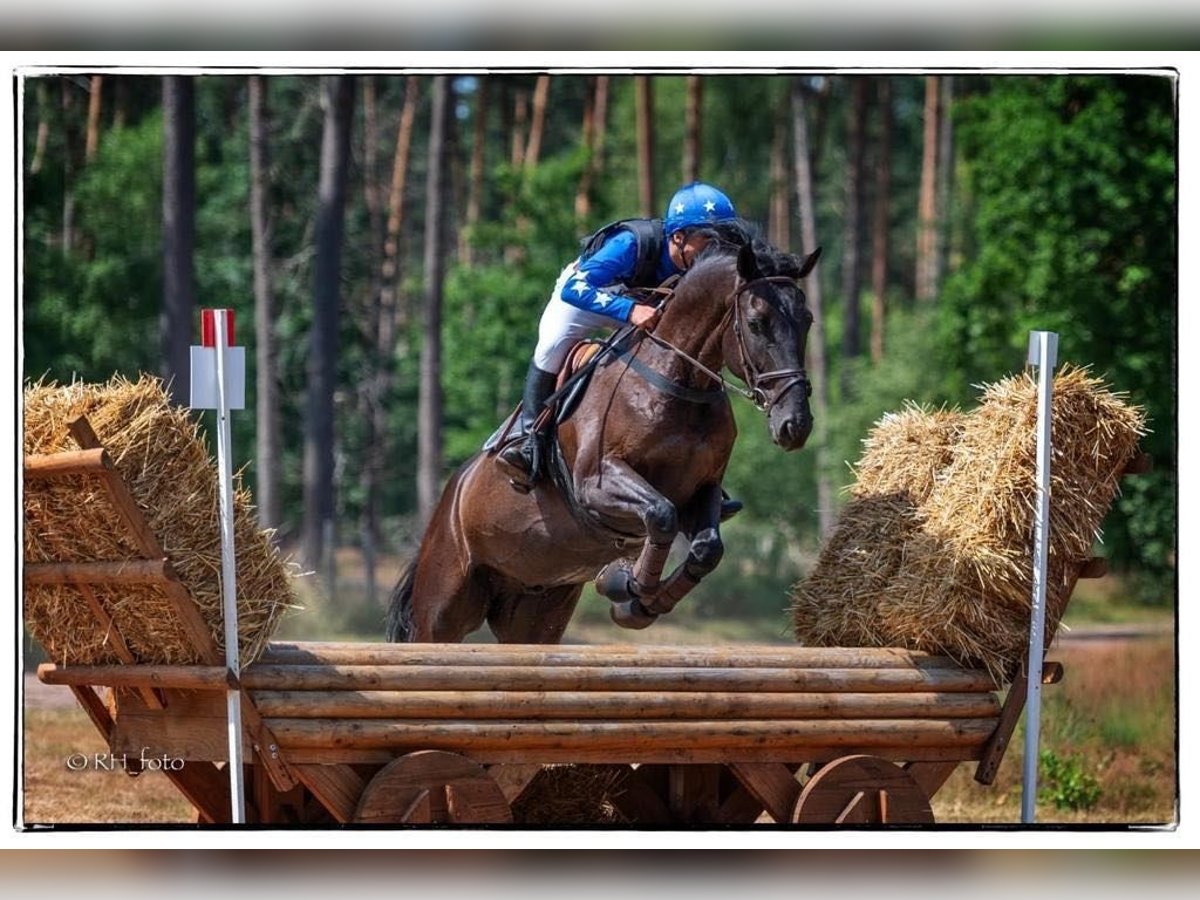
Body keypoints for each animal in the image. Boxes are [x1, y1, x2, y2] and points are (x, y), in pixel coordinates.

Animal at [388, 229, 820, 643]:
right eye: (757, 323)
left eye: (808, 320)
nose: (795, 424)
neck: (678, 381)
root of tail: (452, 491)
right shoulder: (596, 484)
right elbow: (660, 514)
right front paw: (625, 586)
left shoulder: (702, 489)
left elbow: (706, 548)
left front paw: (638, 602)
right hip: (443, 606)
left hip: (535, 611)